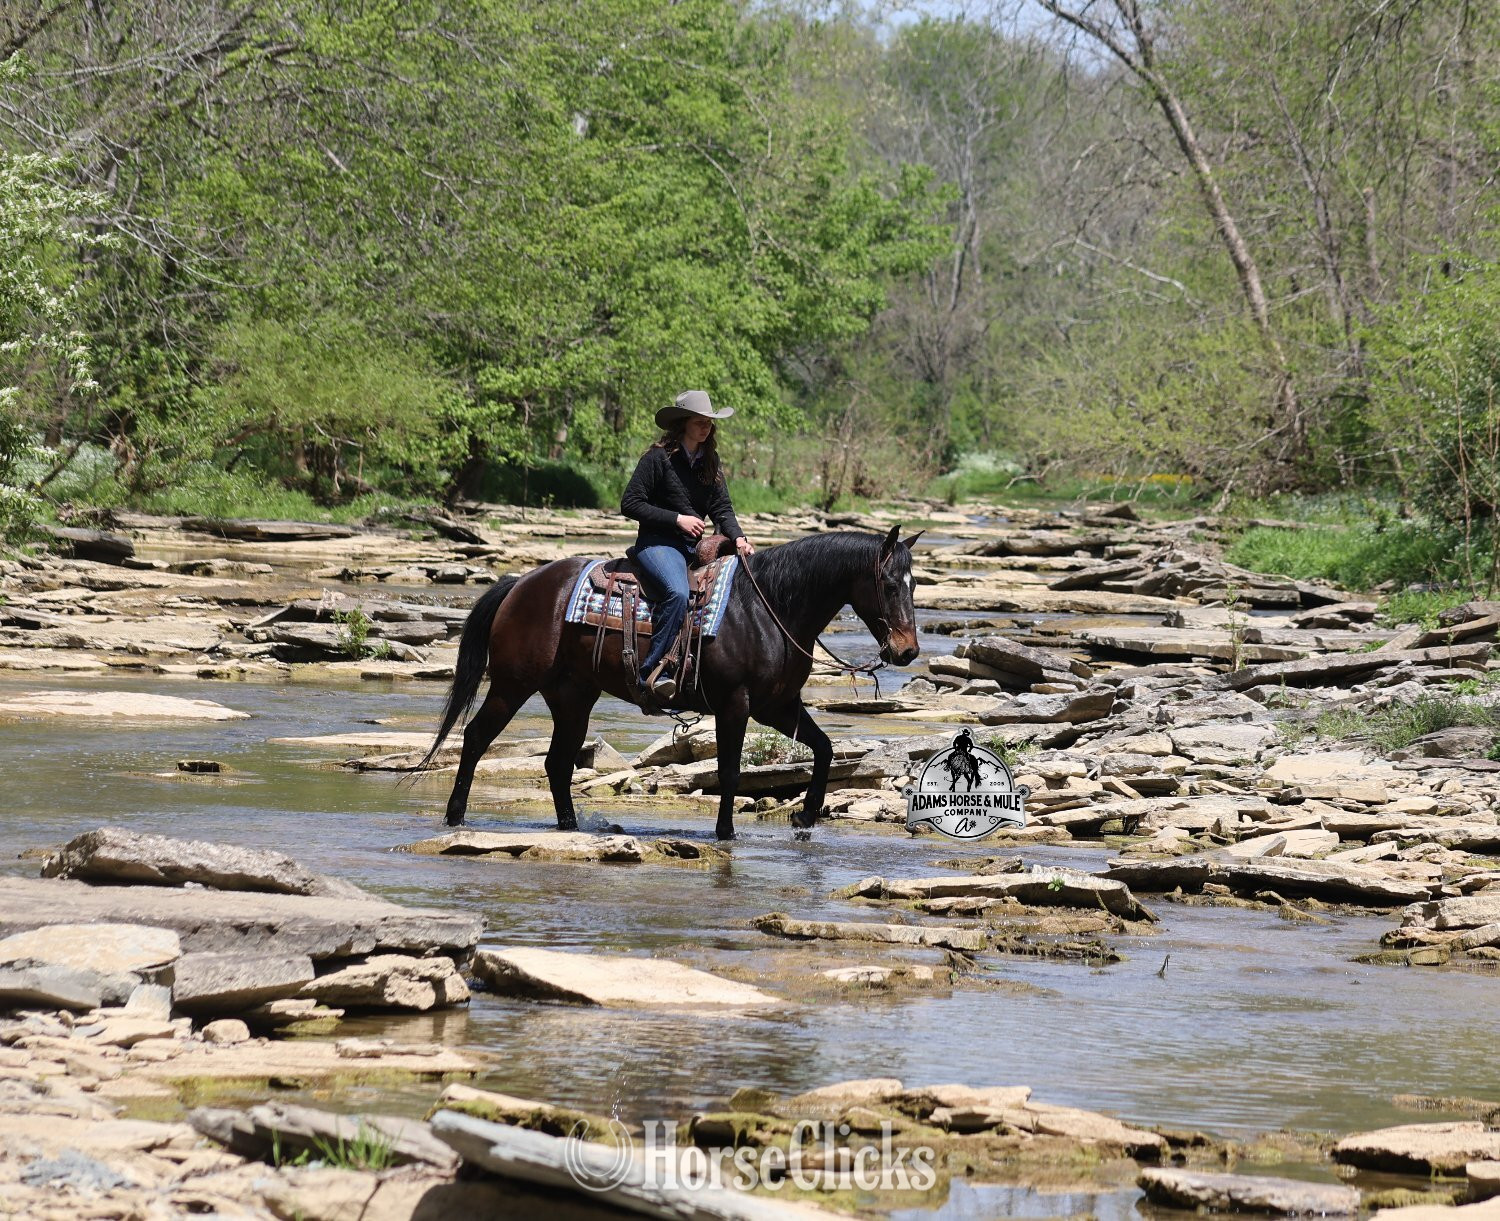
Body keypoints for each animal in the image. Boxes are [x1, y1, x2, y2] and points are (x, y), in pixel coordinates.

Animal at [415, 526, 922, 840]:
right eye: (890, 584)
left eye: (914, 584)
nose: (907, 651)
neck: (770, 608)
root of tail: (522, 584)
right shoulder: (736, 704)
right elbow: (731, 770)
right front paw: (726, 832)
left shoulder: (778, 706)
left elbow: (824, 749)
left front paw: (805, 815)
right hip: (511, 685)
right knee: (476, 738)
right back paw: (455, 816)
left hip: (573, 697)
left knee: (558, 763)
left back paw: (569, 827)